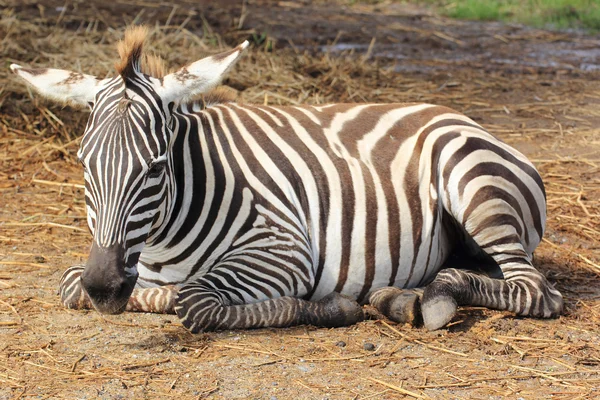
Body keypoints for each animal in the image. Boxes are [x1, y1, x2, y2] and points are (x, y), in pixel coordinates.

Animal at [10, 27, 564, 332]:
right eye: (83, 164)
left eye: (157, 167)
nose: (105, 287)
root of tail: (458, 115)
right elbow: (71, 285)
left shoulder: (284, 249)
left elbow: (195, 301)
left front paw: (330, 307)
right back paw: (399, 295)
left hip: (474, 184)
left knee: (535, 291)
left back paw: (434, 295)